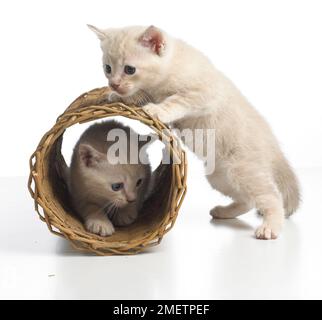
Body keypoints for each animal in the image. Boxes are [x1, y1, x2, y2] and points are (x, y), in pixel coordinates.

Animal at [87, 25, 300, 240]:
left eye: (129, 69)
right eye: (107, 68)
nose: (114, 84)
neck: (169, 70)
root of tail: (273, 145)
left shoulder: (204, 92)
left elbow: (176, 100)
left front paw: (157, 109)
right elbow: (141, 94)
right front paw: (117, 96)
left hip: (242, 169)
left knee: (272, 197)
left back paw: (270, 227)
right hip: (219, 176)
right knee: (247, 200)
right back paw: (224, 212)